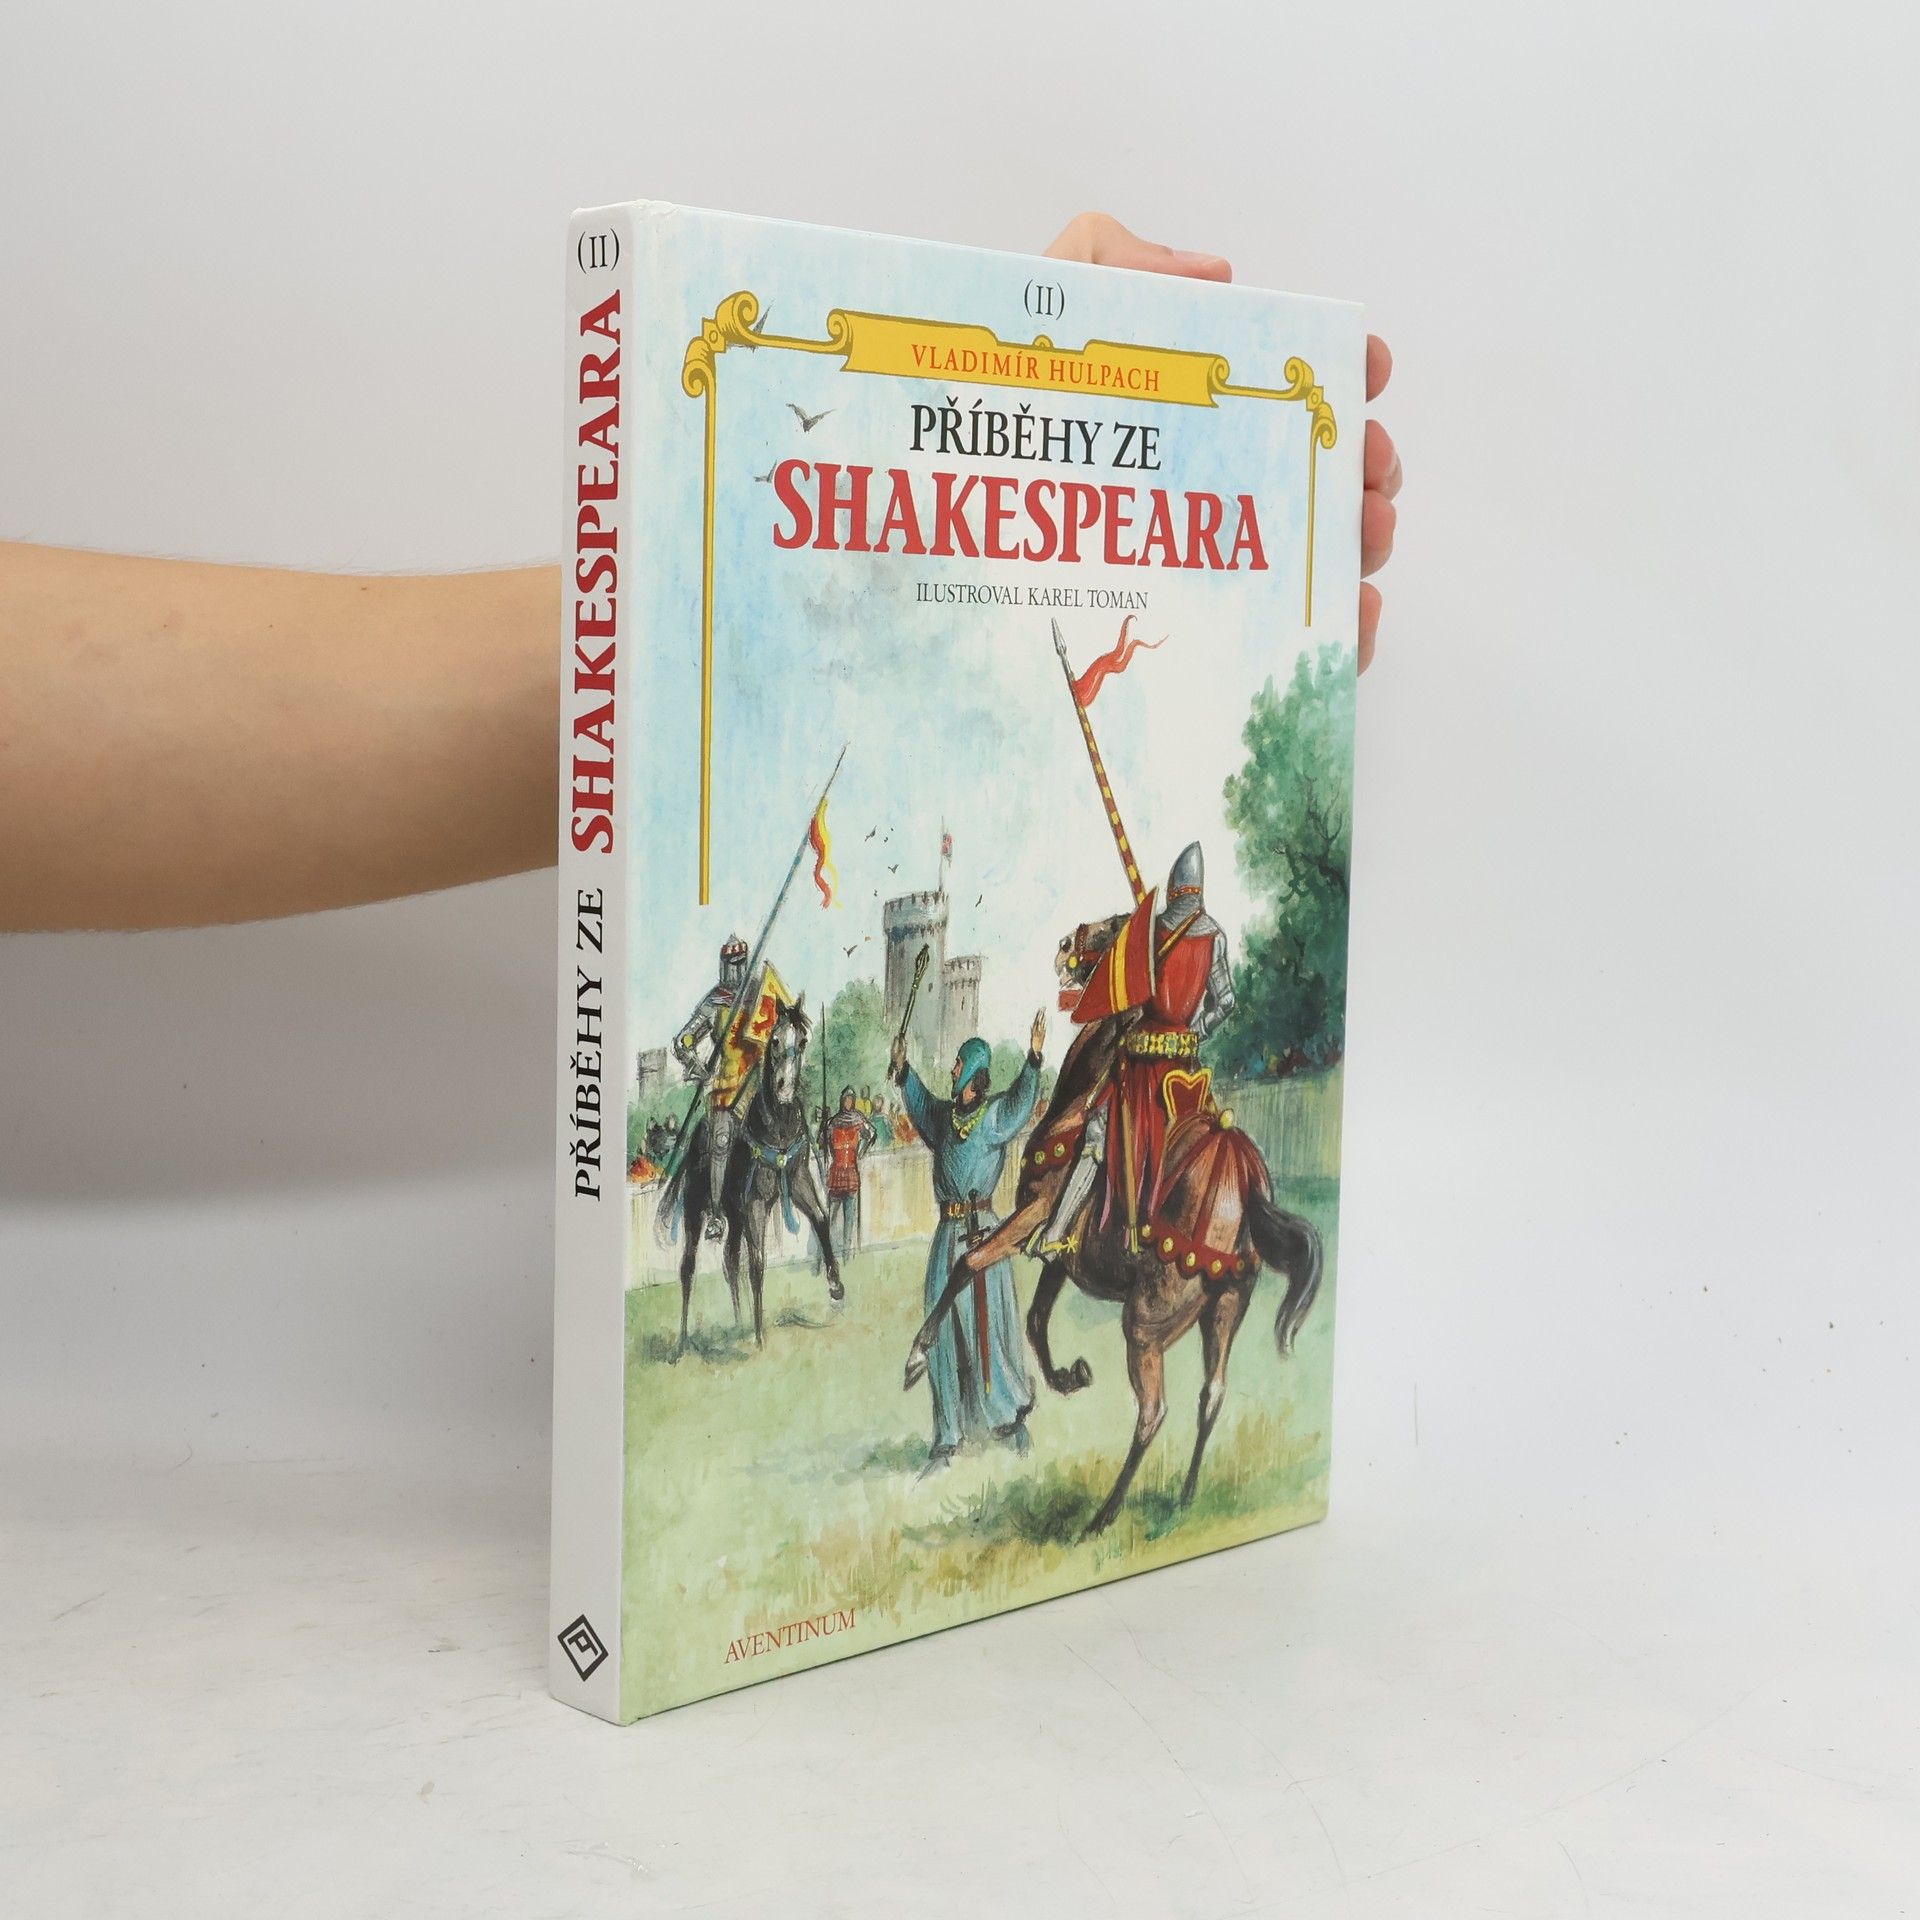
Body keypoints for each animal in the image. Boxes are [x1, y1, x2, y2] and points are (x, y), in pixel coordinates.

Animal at [663, 997, 842, 1356]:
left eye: (803, 1041)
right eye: (774, 1041)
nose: (785, 1089)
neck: (778, 1126)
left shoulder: (798, 1183)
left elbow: (821, 1219)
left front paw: (836, 1287)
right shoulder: (756, 1204)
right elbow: (758, 1262)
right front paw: (760, 1336)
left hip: (734, 1216)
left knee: (730, 1262)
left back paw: (738, 1321)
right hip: (695, 1210)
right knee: (688, 1268)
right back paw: (685, 1340)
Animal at [908, 1018, 1321, 1533]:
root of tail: (1242, 1180)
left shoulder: (1034, 1215)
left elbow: (969, 1265)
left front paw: (916, 1355)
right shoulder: (1059, 1255)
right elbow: (1036, 1322)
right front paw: (1070, 1377)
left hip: (1144, 1326)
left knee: (1153, 1411)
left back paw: (1103, 1516)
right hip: (1224, 1309)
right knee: (1212, 1394)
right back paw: (1184, 1497)